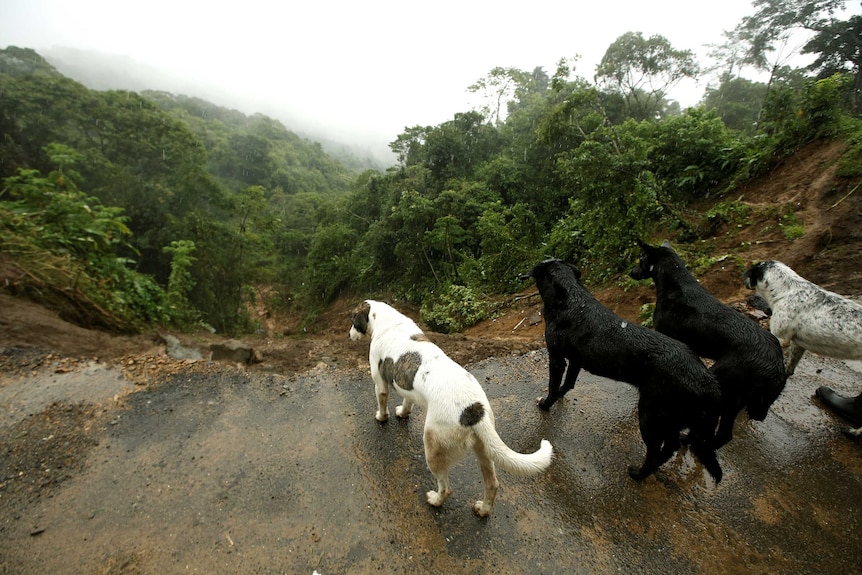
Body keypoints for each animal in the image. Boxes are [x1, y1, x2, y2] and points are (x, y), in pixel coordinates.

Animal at [350, 302, 552, 516]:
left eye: (352, 321)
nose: (349, 334)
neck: (389, 321)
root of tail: (473, 410)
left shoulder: (379, 382)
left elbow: (382, 402)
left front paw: (381, 417)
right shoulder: (406, 387)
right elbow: (407, 401)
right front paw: (403, 413)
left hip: (433, 448)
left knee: (446, 488)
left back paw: (435, 500)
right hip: (483, 449)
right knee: (492, 484)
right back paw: (483, 510)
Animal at [524, 258, 724, 484]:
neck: (570, 299)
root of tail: (708, 381)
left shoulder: (557, 358)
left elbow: (553, 385)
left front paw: (545, 404)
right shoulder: (576, 360)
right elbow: (568, 383)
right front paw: (559, 395)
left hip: (650, 415)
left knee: (656, 451)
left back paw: (638, 474)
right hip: (670, 420)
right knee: (670, 447)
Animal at [632, 241, 788, 448]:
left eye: (641, 258)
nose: (631, 273)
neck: (675, 283)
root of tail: (777, 368)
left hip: (723, 382)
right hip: (735, 397)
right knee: (725, 434)